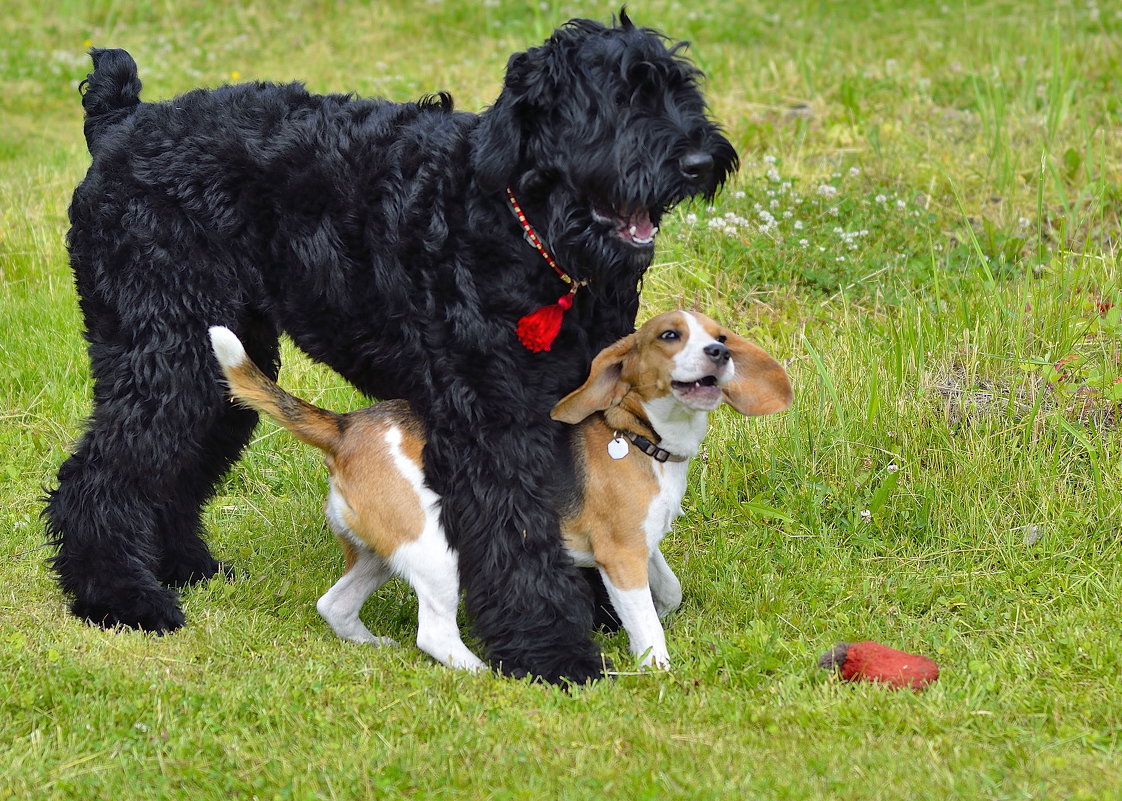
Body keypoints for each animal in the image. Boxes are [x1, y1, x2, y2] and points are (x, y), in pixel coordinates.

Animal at [48, 10, 740, 682]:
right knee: (100, 472)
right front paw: (553, 651)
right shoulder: (491, 419)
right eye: (616, 97)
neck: (514, 223)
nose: (700, 162)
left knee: (174, 464)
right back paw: (121, 597)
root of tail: (120, 122)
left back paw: (184, 567)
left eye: (680, 87)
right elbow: (518, 529)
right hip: (166, 353)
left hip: (216, 362)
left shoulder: (574, 399)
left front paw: (597, 609)